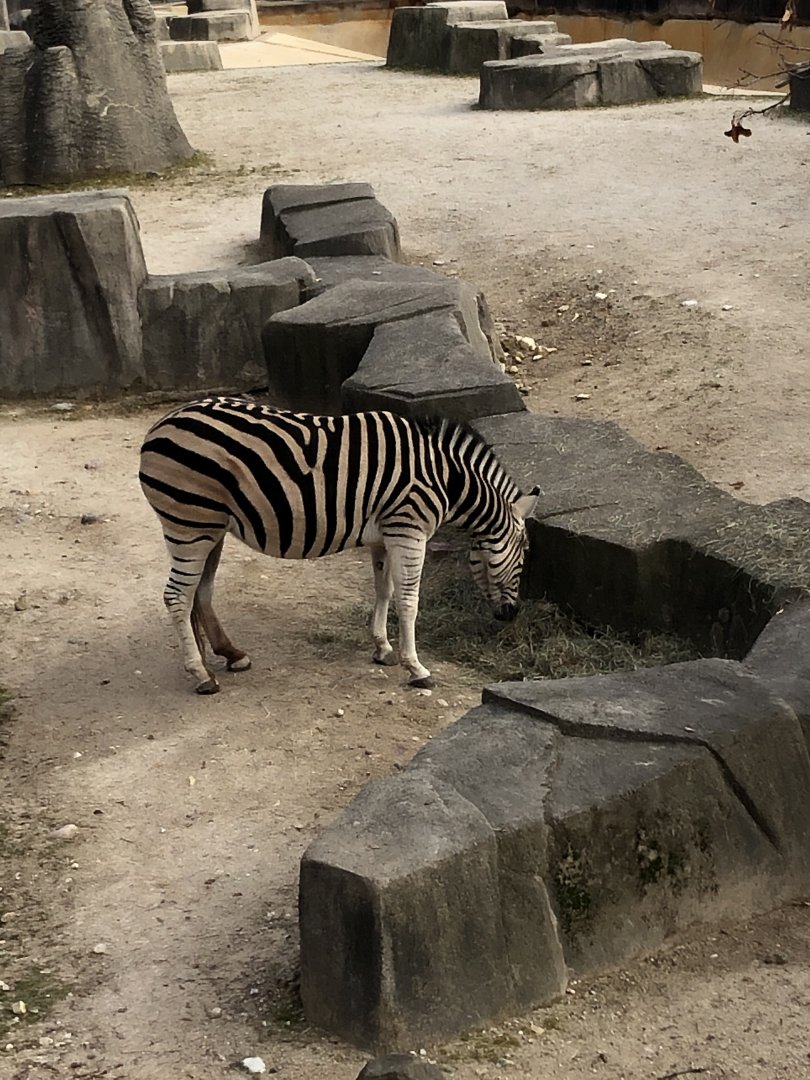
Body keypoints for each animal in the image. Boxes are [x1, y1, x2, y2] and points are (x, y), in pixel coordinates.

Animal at [139, 396, 539, 695]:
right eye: (525, 554)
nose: (512, 614)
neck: (447, 478)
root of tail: (161, 424)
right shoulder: (409, 530)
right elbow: (409, 602)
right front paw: (416, 668)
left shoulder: (385, 534)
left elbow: (383, 590)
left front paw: (383, 648)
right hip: (190, 524)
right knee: (177, 596)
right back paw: (201, 675)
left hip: (211, 527)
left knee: (200, 592)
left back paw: (229, 655)